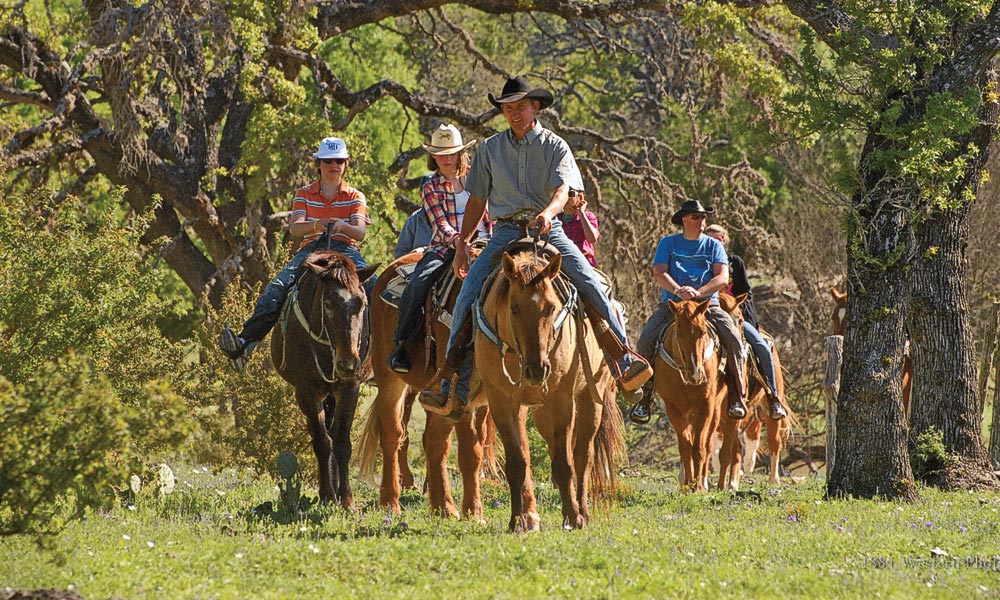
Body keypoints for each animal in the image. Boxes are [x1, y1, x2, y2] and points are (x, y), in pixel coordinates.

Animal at [272, 251, 376, 508]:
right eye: (327, 304)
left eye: (362, 303)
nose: (348, 363)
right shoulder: (307, 392)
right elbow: (322, 442)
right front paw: (328, 495)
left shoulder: (349, 388)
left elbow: (341, 442)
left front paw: (346, 498)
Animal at [360, 251, 500, 516]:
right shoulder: (461, 396)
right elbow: (470, 453)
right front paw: (474, 512)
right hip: (390, 381)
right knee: (393, 435)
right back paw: (391, 501)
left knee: (434, 442)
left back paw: (443, 506)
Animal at [476, 244, 624, 536]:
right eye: (514, 309)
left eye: (552, 307)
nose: (537, 370)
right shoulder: (502, 402)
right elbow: (517, 463)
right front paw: (517, 521)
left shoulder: (562, 401)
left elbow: (566, 464)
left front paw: (575, 518)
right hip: (540, 412)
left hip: (592, 398)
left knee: (582, 456)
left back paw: (581, 512)